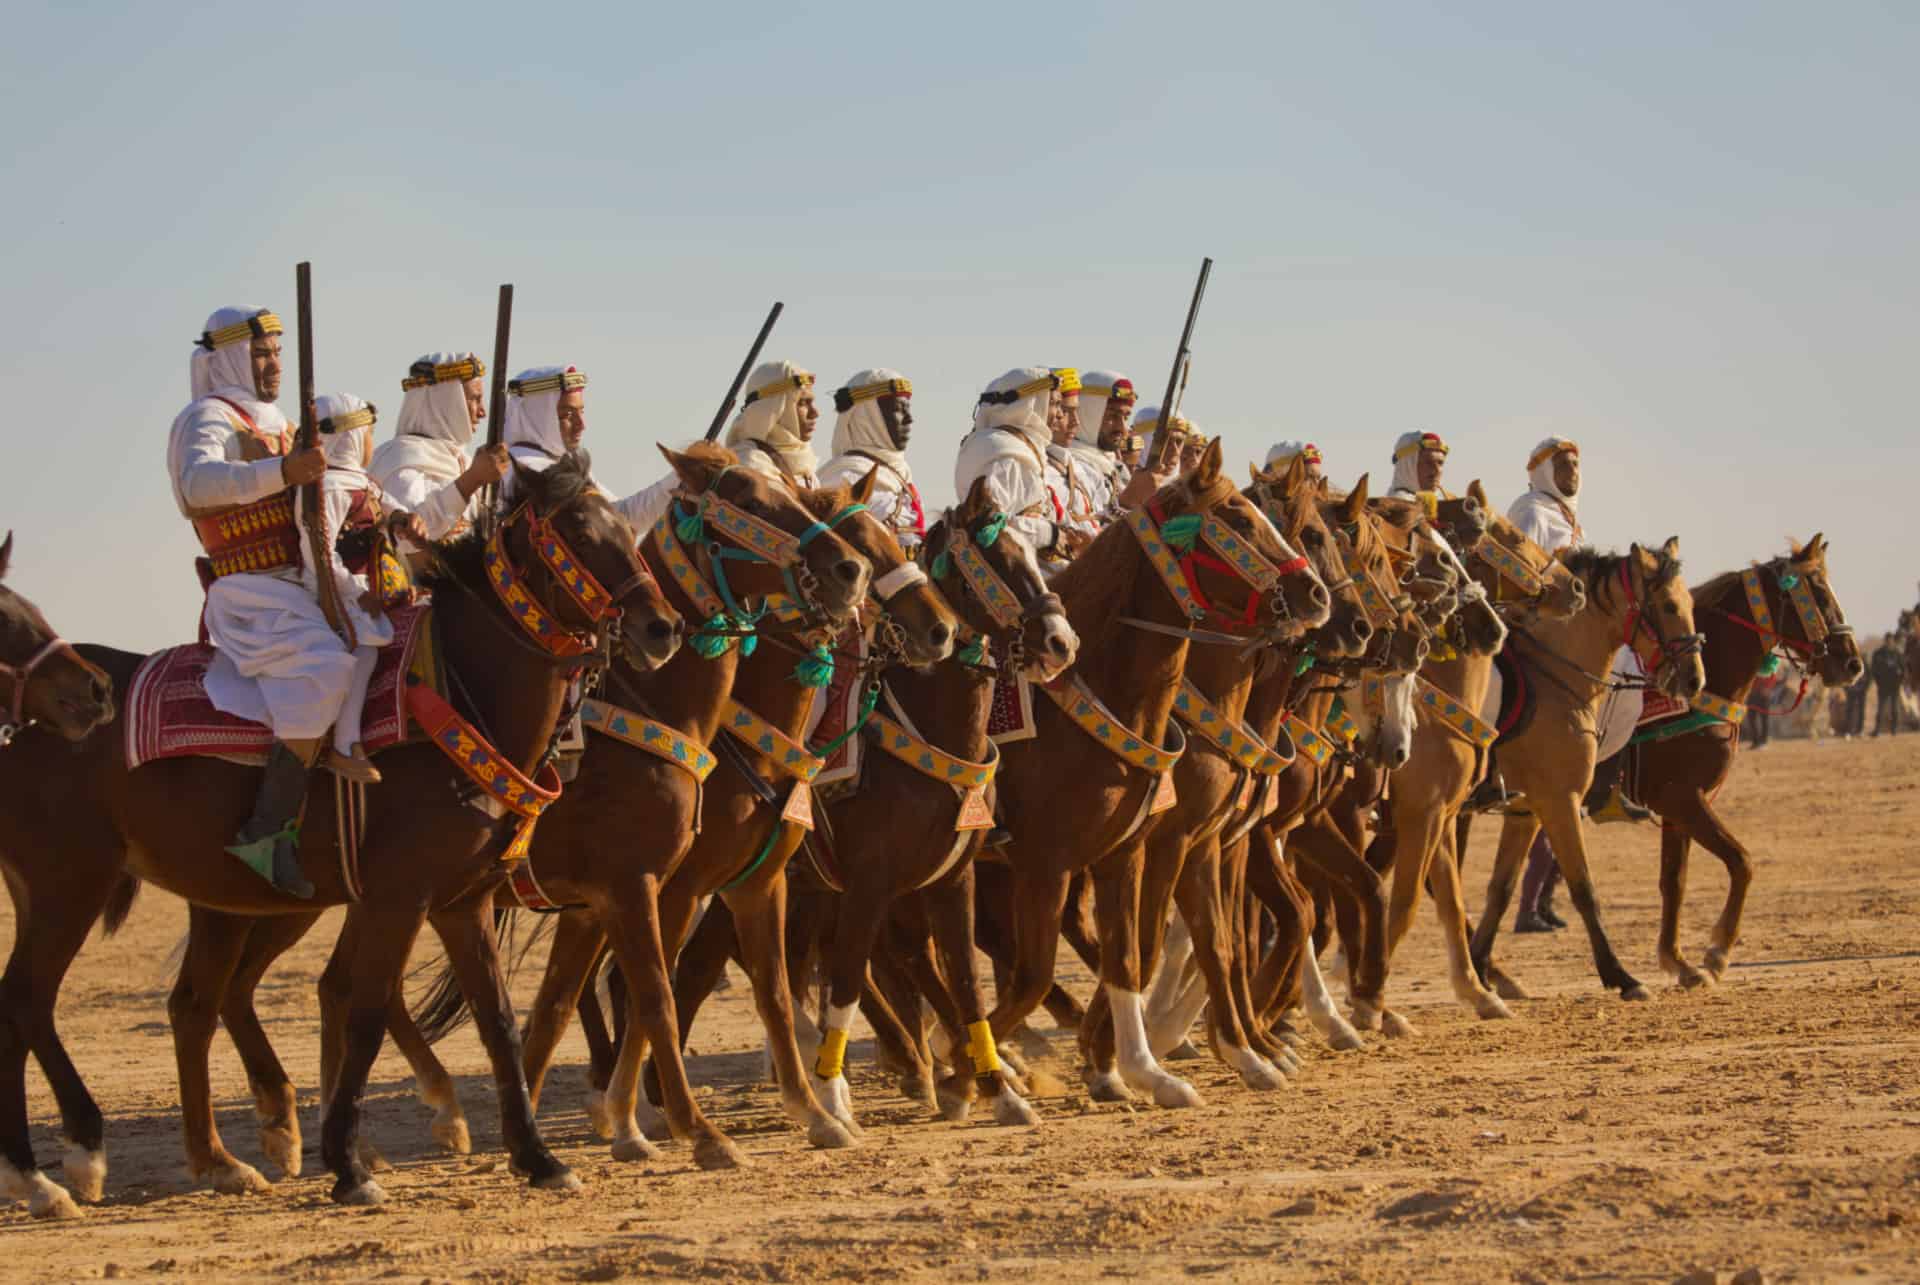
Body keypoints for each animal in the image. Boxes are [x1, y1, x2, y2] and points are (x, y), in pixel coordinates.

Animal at [0, 453, 687, 1213]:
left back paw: (215, 1160)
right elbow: (364, 1012)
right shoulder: (401, 898)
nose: (662, 627)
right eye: (578, 530)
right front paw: (349, 1165)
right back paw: (60, 1162)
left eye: (625, 524)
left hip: (208, 902)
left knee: (188, 1006)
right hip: (69, 887)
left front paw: (537, 1157)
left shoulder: (463, 901)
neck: (456, 696)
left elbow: (500, 1022)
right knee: (27, 1000)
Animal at [1466, 537, 1712, 998]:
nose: (1694, 680)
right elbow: (1584, 890)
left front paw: (1479, 969)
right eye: (1669, 606)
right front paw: (1620, 976)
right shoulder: (1559, 803)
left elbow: (1500, 889)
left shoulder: (1525, 812)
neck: (1555, 677)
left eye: (1690, 602)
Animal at [1628, 537, 1866, 991]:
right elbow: (1742, 862)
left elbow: (1674, 881)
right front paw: (1717, 952)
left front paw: (1678, 962)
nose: (1853, 664)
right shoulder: (1683, 798)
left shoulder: (1676, 806)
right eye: (1819, 591)